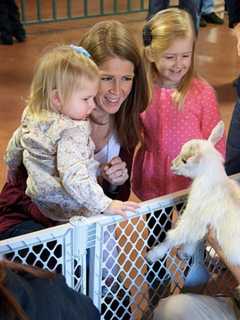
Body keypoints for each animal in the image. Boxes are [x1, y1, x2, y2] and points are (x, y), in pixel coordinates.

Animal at [146, 121, 240, 266]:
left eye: (185, 160)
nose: (172, 164)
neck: (215, 183)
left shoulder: (194, 218)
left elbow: (175, 237)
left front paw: (152, 255)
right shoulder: (202, 224)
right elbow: (194, 240)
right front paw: (184, 253)